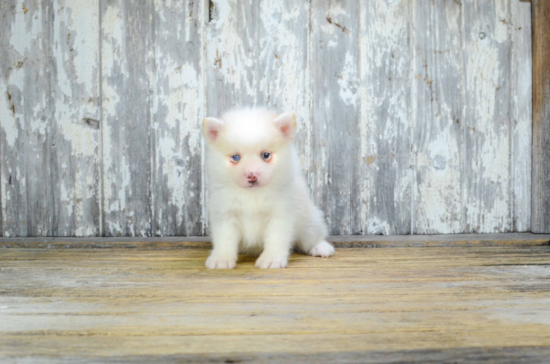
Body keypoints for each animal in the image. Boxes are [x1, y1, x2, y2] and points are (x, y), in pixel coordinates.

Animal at [203, 106, 336, 268]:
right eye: (235, 157)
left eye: (265, 155)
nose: (252, 176)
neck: (252, 195)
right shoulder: (225, 215)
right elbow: (225, 240)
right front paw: (221, 259)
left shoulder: (279, 215)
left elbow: (276, 239)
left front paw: (271, 259)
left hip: (309, 223)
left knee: (313, 237)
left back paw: (321, 247)